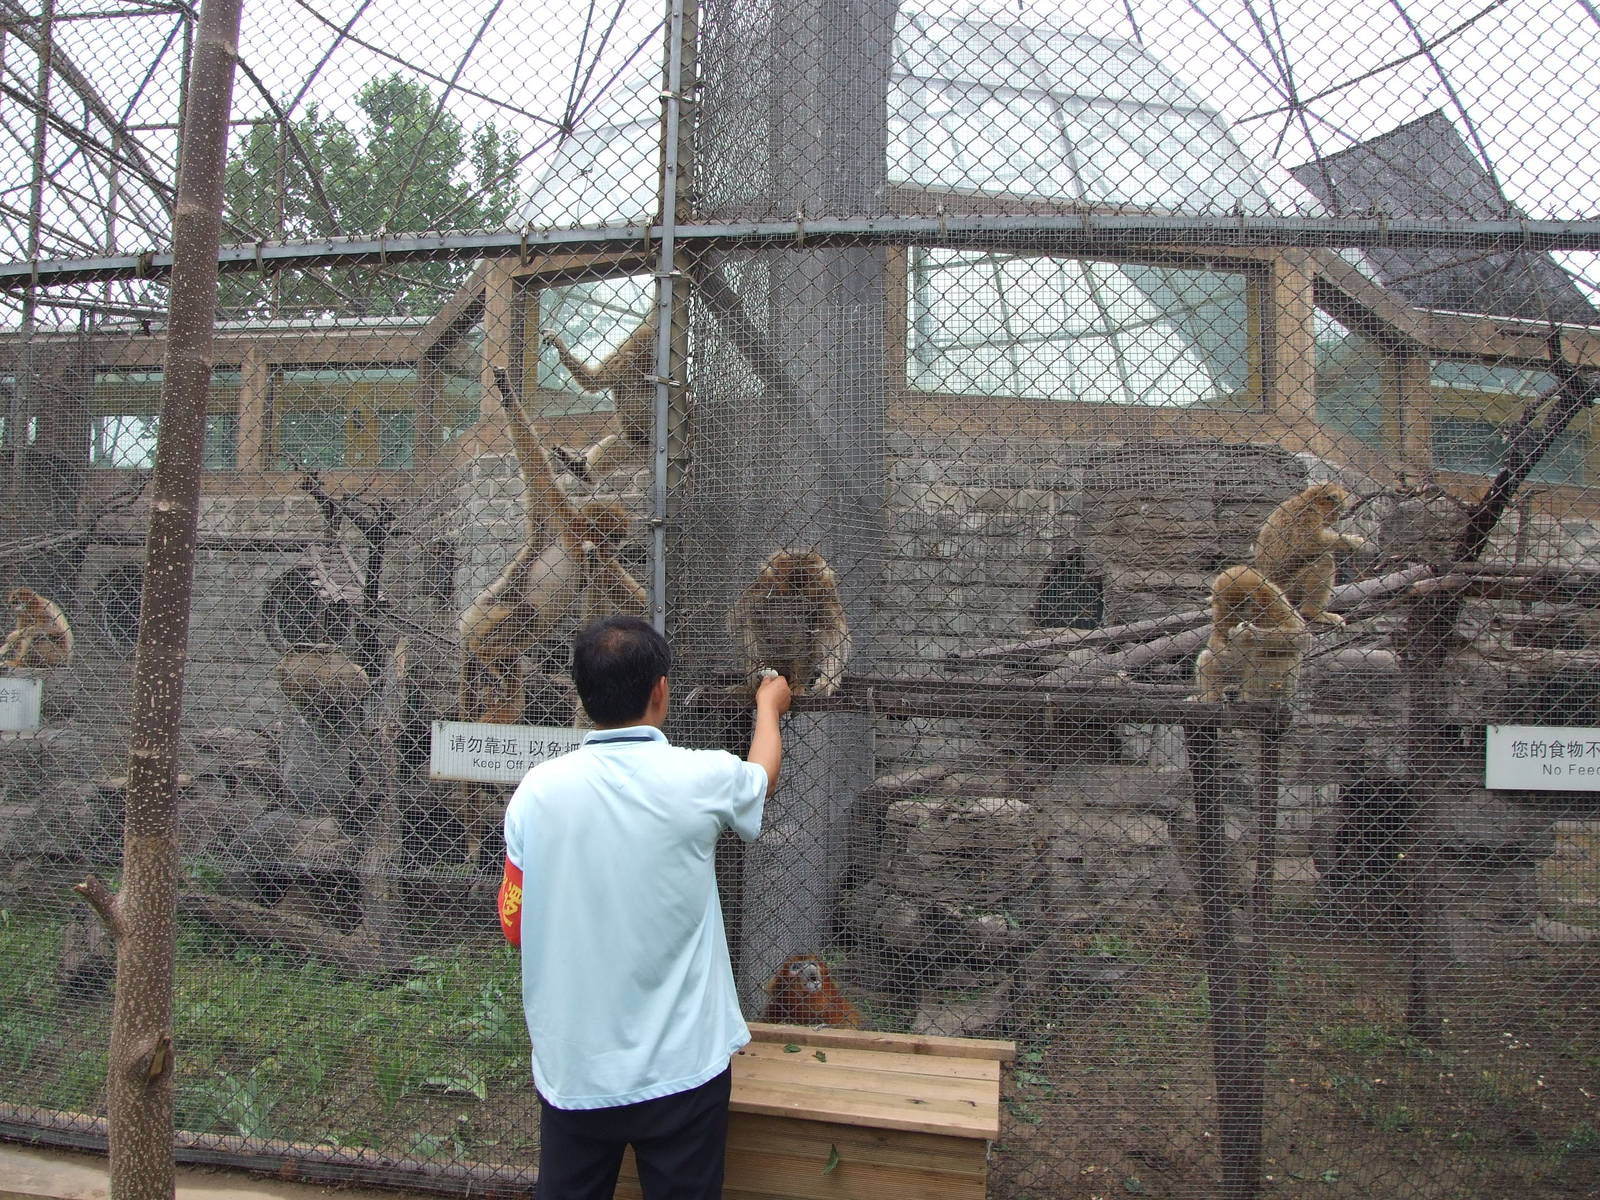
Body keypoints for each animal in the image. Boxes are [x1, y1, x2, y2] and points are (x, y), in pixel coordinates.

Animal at [539, 310, 656, 483]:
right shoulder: (619, 364)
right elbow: (592, 381)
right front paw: (559, 344)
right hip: (639, 448)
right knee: (618, 442)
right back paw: (582, 471)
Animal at [729, 549, 851, 697]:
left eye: (802, 593)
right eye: (794, 591)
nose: (799, 600)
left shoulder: (825, 594)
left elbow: (835, 635)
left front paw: (826, 683)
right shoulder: (764, 586)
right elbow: (743, 618)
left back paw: (797, 684)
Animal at [1193, 565, 1311, 702]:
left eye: (1243, 604)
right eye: (1234, 607)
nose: (1239, 612)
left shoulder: (1274, 598)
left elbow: (1302, 636)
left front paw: (1248, 636)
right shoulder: (1221, 610)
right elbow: (1216, 641)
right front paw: (1223, 651)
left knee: (1272, 655)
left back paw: (1252, 697)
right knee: (1208, 655)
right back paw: (1215, 696)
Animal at [1251, 482, 1367, 626]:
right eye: (1338, 511)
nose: (1337, 517)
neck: (1309, 501)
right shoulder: (1307, 516)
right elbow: (1308, 544)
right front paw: (1352, 541)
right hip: (1290, 588)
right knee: (1324, 561)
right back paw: (1312, 612)